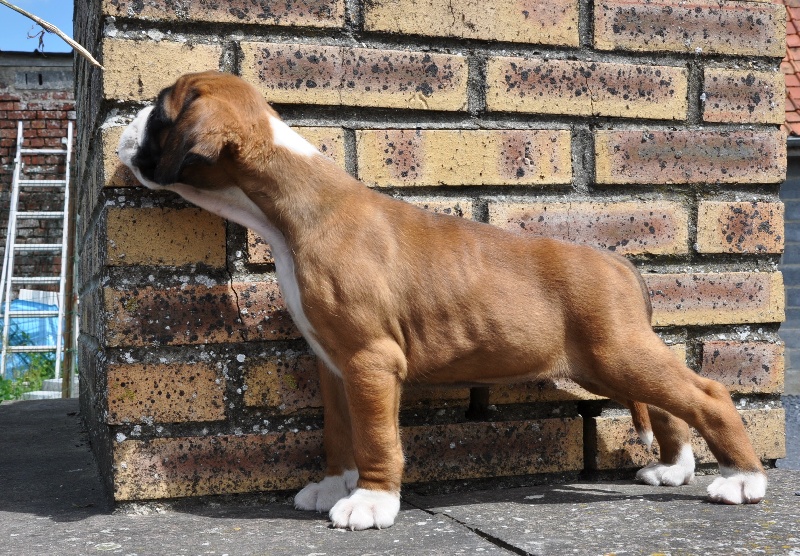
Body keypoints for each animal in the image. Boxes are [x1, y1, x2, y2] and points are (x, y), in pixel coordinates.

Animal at [117, 71, 767, 530]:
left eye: (160, 112)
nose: (125, 126)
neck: (296, 204)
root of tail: (617, 262)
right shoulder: (336, 364)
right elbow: (340, 431)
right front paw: (335, 483)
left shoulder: (371, 360)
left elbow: (376, 436)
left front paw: (370, 501)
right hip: (603, 363)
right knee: (666, 403)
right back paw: (674, 468)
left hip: (615, 353)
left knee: (705, 394)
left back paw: (742, 480)